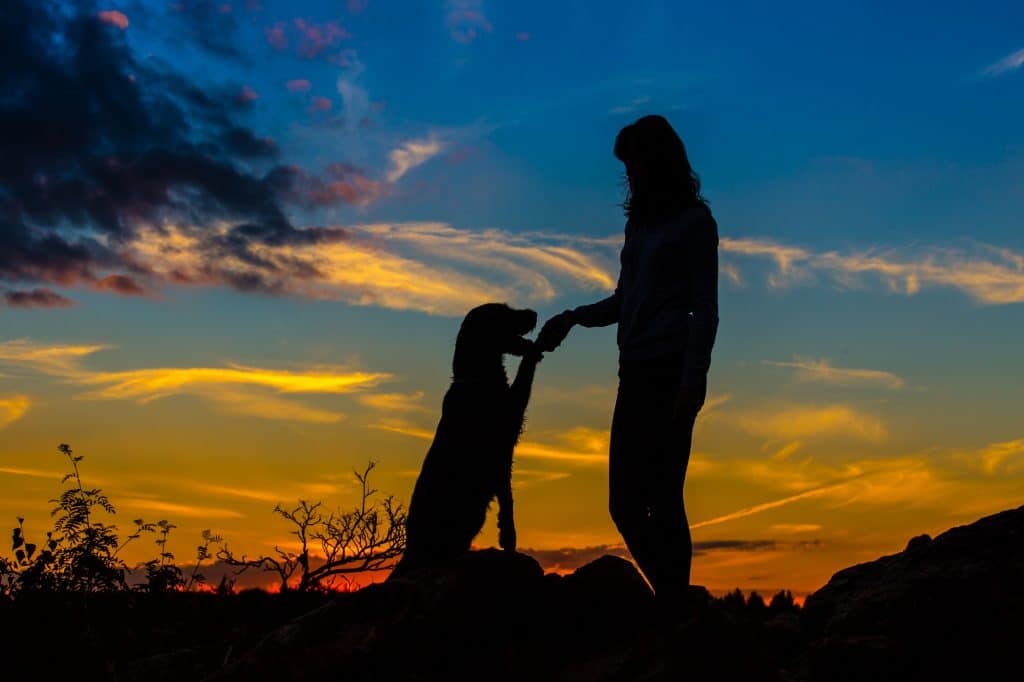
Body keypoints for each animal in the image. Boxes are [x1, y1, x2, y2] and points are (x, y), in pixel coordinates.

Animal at [387, 303, 540, 573]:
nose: (534, 313)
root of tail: (410, 547)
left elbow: (507, 500)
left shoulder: (502, 460)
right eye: (503, 312)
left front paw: (507, 537)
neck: (477, 375)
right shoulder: (506, 425)